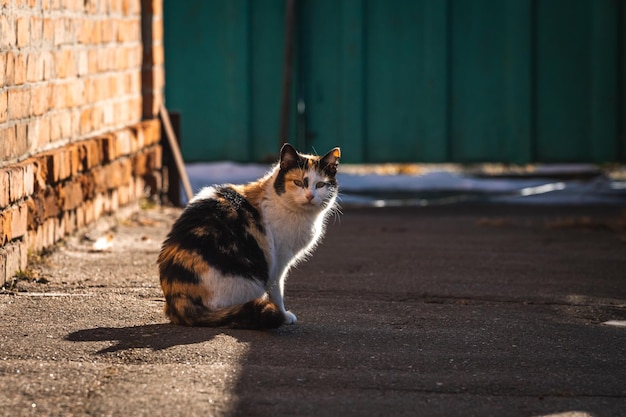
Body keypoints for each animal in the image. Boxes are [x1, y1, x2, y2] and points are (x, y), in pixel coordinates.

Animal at [158, 143, 338, 328]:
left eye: (320, 185)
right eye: (298, 182)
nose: (310, 196)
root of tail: (177, 301)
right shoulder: (278, 262)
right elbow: (277, 292)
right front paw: (284, 315)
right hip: (249, 282)